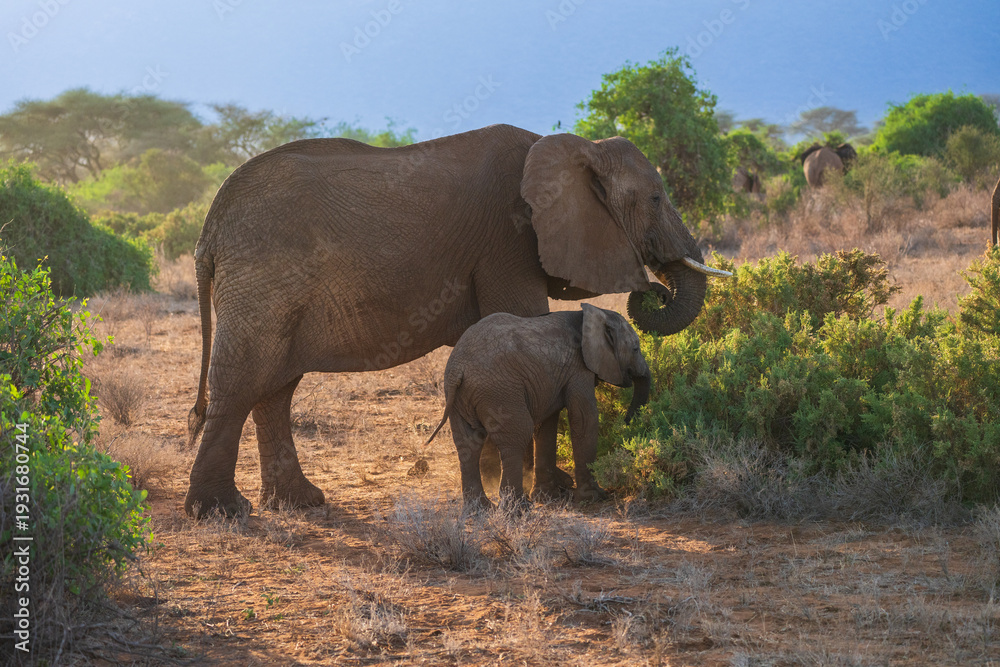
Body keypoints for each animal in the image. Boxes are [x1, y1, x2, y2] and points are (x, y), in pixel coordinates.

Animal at [423, 304, 650, 509]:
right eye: (636, 348)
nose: (626, 422)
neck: (592, 314)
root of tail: (458, 368)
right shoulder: (578, 369)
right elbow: (585, 419)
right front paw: (594, 499)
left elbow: (546, 424)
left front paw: (547, 497)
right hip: (500, 392)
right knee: (517, 436)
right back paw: (518, 509)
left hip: (460, 397)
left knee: (468, 444)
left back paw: (480, 509)